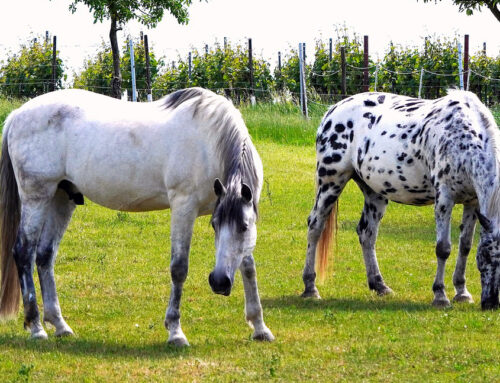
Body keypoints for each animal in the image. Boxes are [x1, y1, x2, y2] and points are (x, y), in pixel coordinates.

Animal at [0, 88, 274, 348]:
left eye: (244, 227)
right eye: (214, 225)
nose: (219, 282)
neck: (208, 142)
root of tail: (17, 115)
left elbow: (248, 267)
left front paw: (259, 327)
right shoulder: (183, 206)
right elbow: (179, 268)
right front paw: (175, 331)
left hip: (62, 198)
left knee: (45, 256)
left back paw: (59, 325)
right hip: (36, 197)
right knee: (24, 253)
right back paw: (36, 327)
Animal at [300, 88, 500, 310]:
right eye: (486, 257)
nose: (491, 303)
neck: (463, 137)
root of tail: (332, 111)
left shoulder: (472, 203)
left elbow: (464, 246)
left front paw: (462, 292)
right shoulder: (444, 199)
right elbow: (443, 248)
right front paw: (440, 295)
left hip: (374, 193)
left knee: (366, 233)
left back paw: (380, 285)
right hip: (331, 181)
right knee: (315, 226)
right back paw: (310, 288)